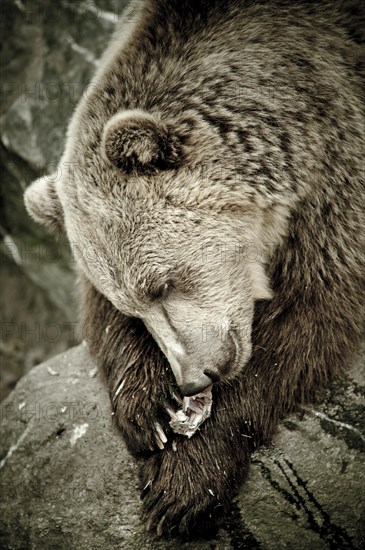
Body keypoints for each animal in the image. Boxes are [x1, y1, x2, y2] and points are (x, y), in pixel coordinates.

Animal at [24, 0, 362, 540]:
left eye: (161, 284)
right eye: (134, 306)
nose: (191, 378)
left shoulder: (335, 172)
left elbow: (310, 314)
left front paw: (183, 484)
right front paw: (149, 411)